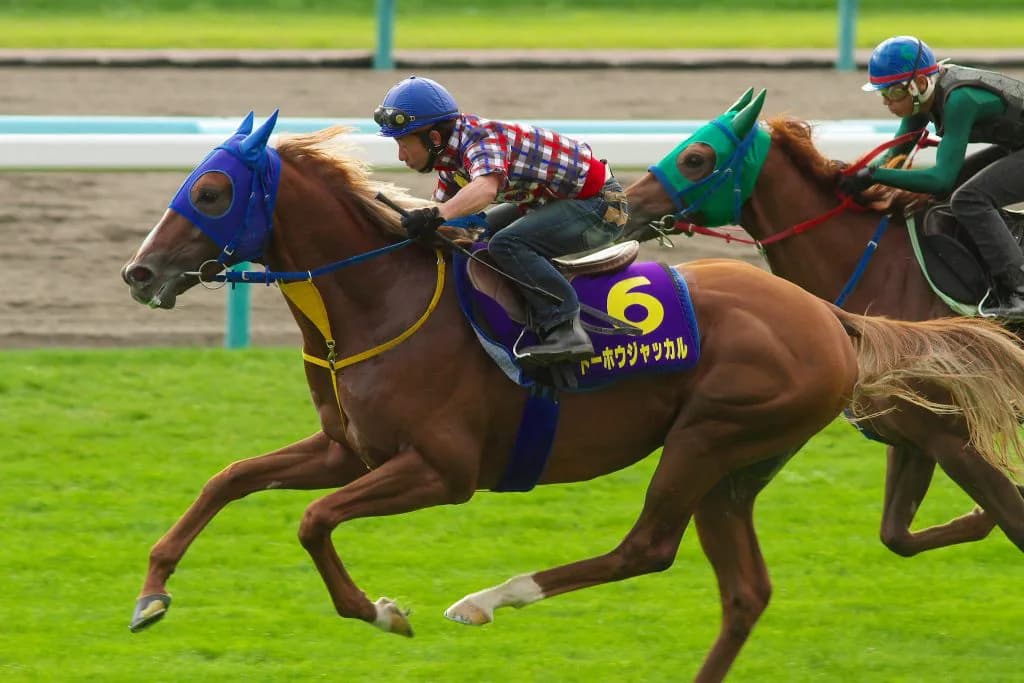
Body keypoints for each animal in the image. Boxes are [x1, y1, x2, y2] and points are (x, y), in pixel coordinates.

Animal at [622, 88, 1024, 560]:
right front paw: (978, 518)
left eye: (695, 158)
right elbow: (897, 536)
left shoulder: (955, 439)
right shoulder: (915, 436)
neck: (880, 269)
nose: (626, 205)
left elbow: (1013, 520)